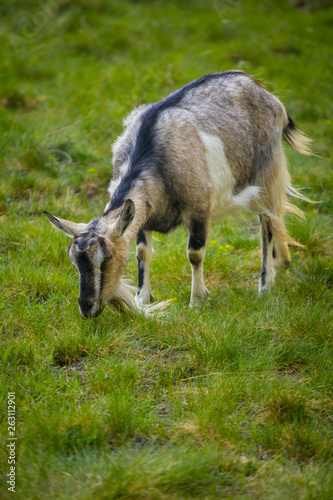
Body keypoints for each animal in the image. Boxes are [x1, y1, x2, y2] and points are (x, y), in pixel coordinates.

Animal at [44, 71, 312, 316]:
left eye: (107, 258)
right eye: (73, 260)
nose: (87, 308)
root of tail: (268, 95)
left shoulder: (199, 209)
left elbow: (194, 254)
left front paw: (197, 300)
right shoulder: (143, 213)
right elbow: (142, 252)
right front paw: (143, 298)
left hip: (267, 172)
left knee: (267, 225)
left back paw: (265, 286)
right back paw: (283, 262)